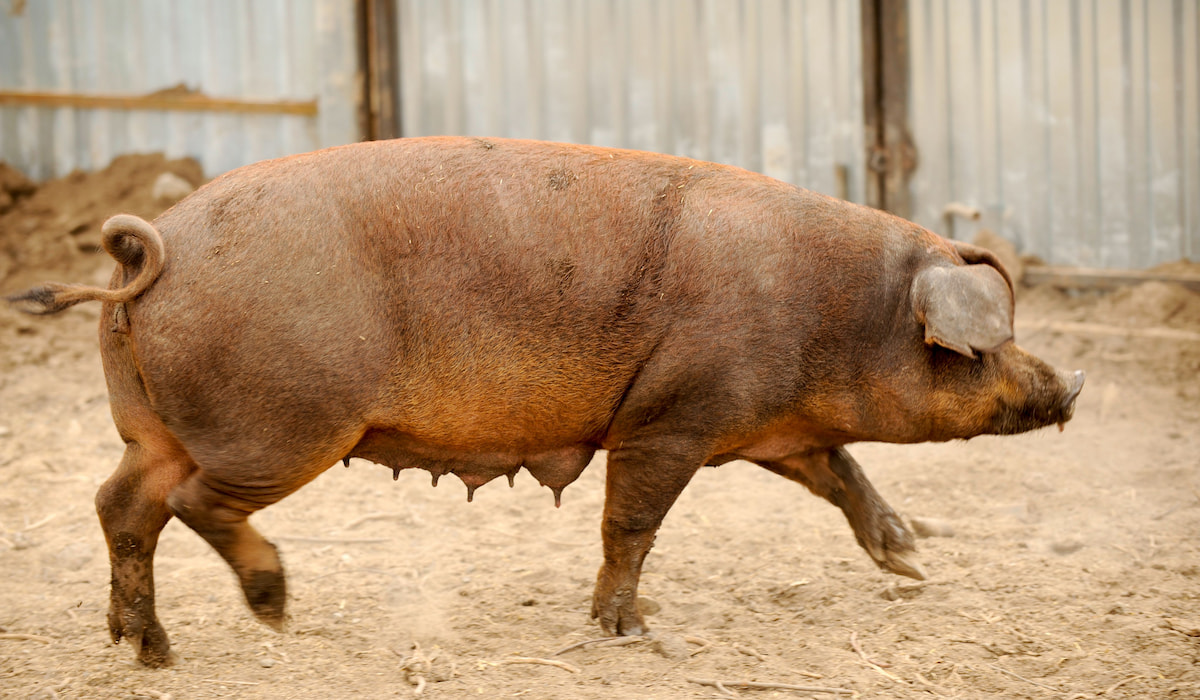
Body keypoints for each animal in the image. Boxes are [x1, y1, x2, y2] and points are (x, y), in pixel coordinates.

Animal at [6, 137, 1084, 667]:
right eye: (991, 344)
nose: (1073, 382)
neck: (833, 315)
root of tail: (145, 255)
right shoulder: (673, 417)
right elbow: (632, 523)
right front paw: (629, 632)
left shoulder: (769, 425)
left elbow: (841, 472)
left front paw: (911, 560)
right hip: (286, 424)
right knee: (194, 505)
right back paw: (272, 611)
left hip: (152, 427)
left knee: (121, 504)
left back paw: (147, 652)